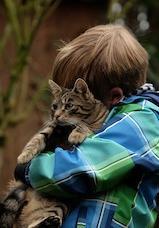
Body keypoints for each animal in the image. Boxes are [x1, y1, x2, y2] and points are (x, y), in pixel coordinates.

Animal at [0, 77, 108, 227]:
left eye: (68, 106)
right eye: (54, 106)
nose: (56, 116)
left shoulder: (97, 125)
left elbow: (84, 125)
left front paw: (76, 134)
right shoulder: (52, 127)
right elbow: (37, 138)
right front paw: (24, 156)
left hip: (59, 204)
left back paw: (50, 221)